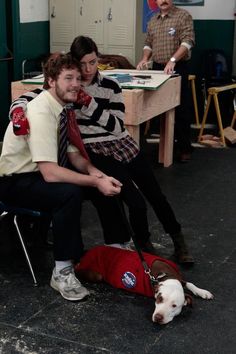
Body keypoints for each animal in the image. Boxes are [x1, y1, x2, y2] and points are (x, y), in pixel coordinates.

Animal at [75, 246, 214, 324]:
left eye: (174, 305)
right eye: (159, 299)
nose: (158, 317)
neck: (165, 275)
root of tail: (88, 251)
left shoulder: (179, 279)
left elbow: (190, 284)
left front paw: (203, 292)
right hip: (96, 274)